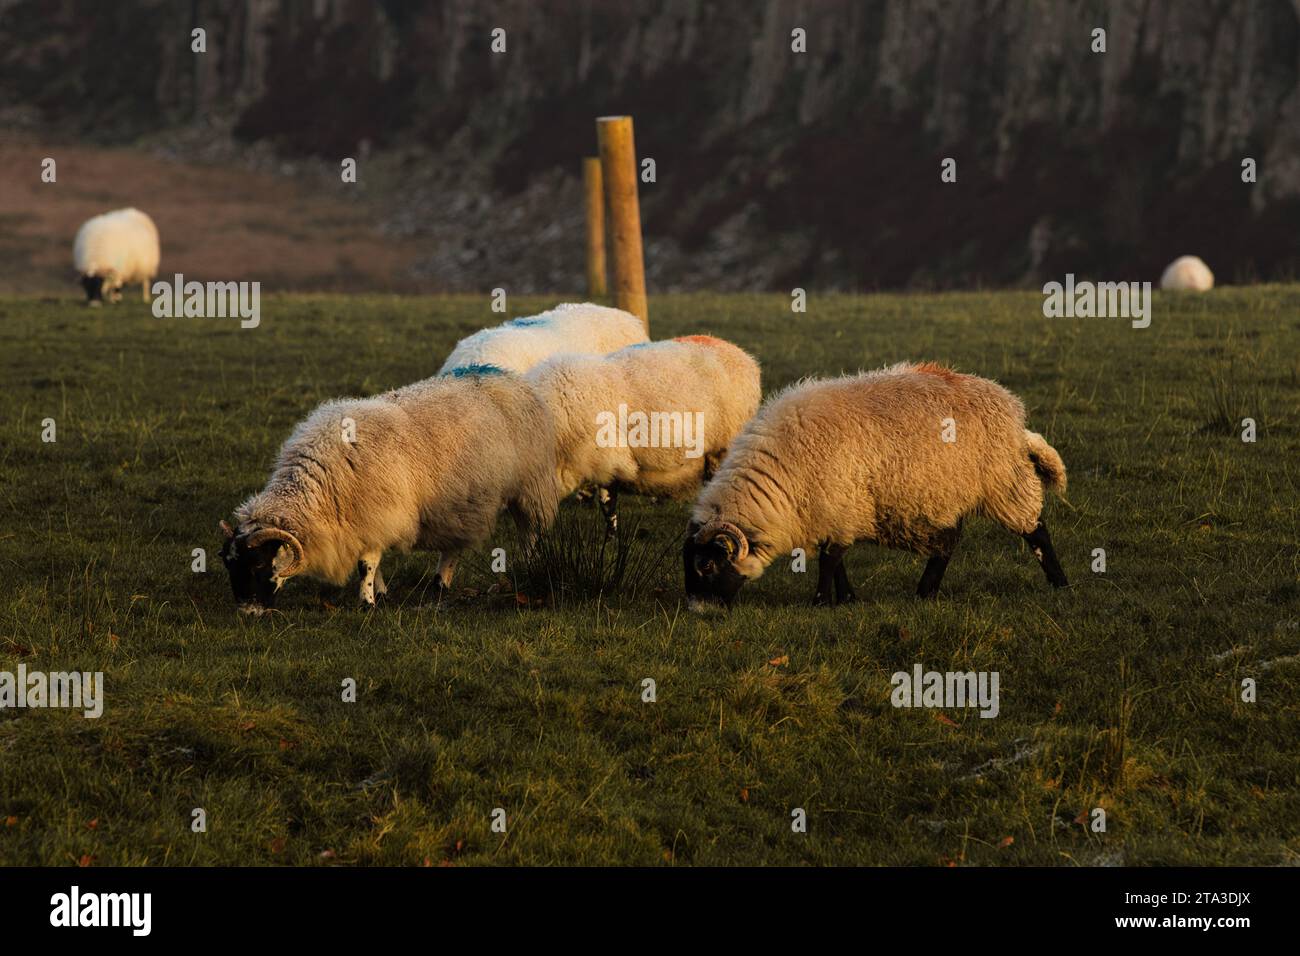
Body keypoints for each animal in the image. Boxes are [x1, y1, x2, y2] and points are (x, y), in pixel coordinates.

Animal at [686, 361, 1071, 608]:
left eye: (706, 565)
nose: (699, 612)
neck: (779, 478)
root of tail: (1010, 406)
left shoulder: (841, 503)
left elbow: (830, 558)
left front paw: (821, 601)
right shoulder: (833, 510)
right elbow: (836, 558)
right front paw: (846, 599)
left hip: (1004, 480)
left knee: (1036, 530)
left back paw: (1060, 583)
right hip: (945, 493)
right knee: (948, 542)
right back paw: (925, 592)